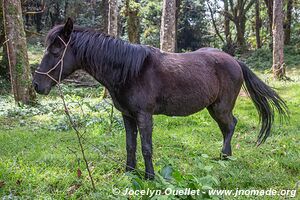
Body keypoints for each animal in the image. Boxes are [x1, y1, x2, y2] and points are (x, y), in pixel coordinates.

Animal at [32, 18, 288, 178]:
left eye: (55, 51)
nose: (36, 85)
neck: (129, 71)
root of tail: (235, 61)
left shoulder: (144, 116)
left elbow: (146, 147)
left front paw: (150, 176)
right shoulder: (127, 116)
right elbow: (130, 145)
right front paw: (129, 172)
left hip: (220, 107)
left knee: (230, 125)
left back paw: (224, 157)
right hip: (213, 108)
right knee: (227, 127)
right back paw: (226, 157)